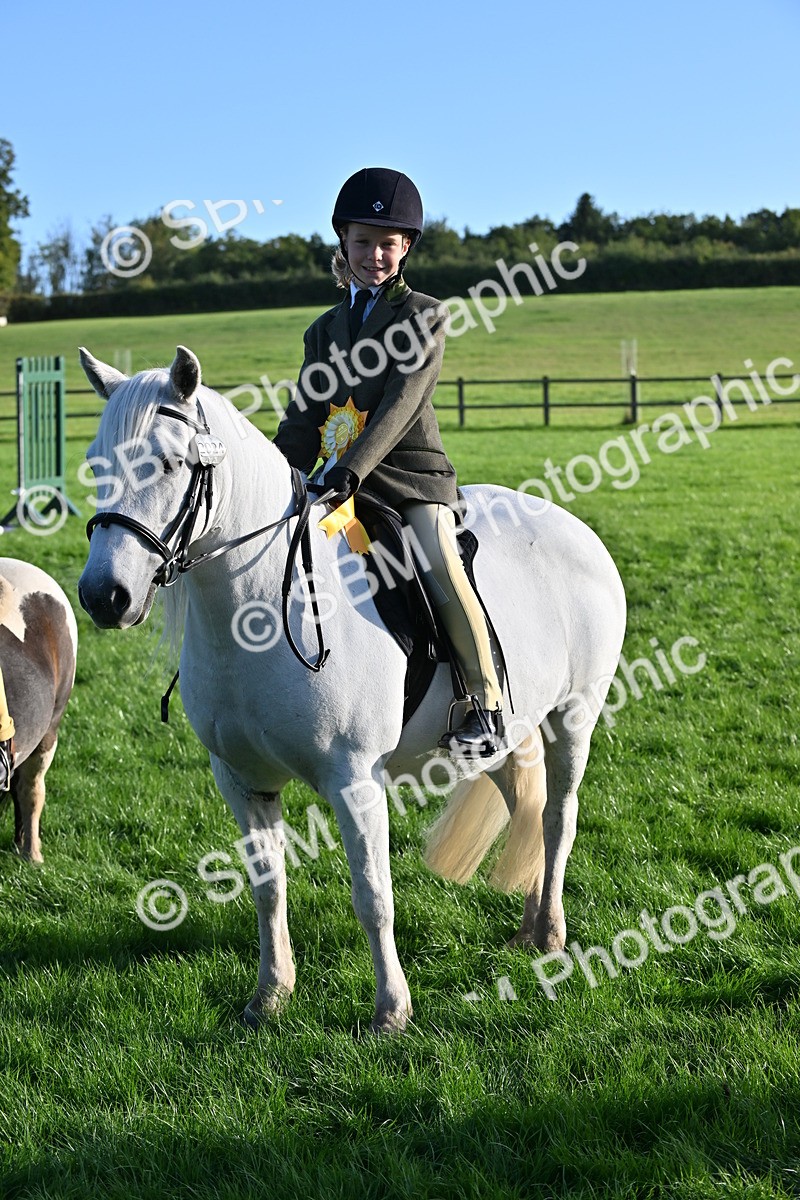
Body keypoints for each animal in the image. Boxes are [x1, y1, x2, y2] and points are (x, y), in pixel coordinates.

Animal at [77, 345, 626, 1034]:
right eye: (97, 463)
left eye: (173, 462)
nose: (104, 595)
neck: (256, 608)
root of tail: (577, 529)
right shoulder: (241, 780)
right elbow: (268, 890)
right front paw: (270, 997)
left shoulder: (354, 777)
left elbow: (372, 894)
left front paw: (392, 1011)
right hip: (507, 734)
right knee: (524, 803)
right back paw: (528, 927)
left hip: (573, 719)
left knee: (558, 816)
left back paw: (550, 932)